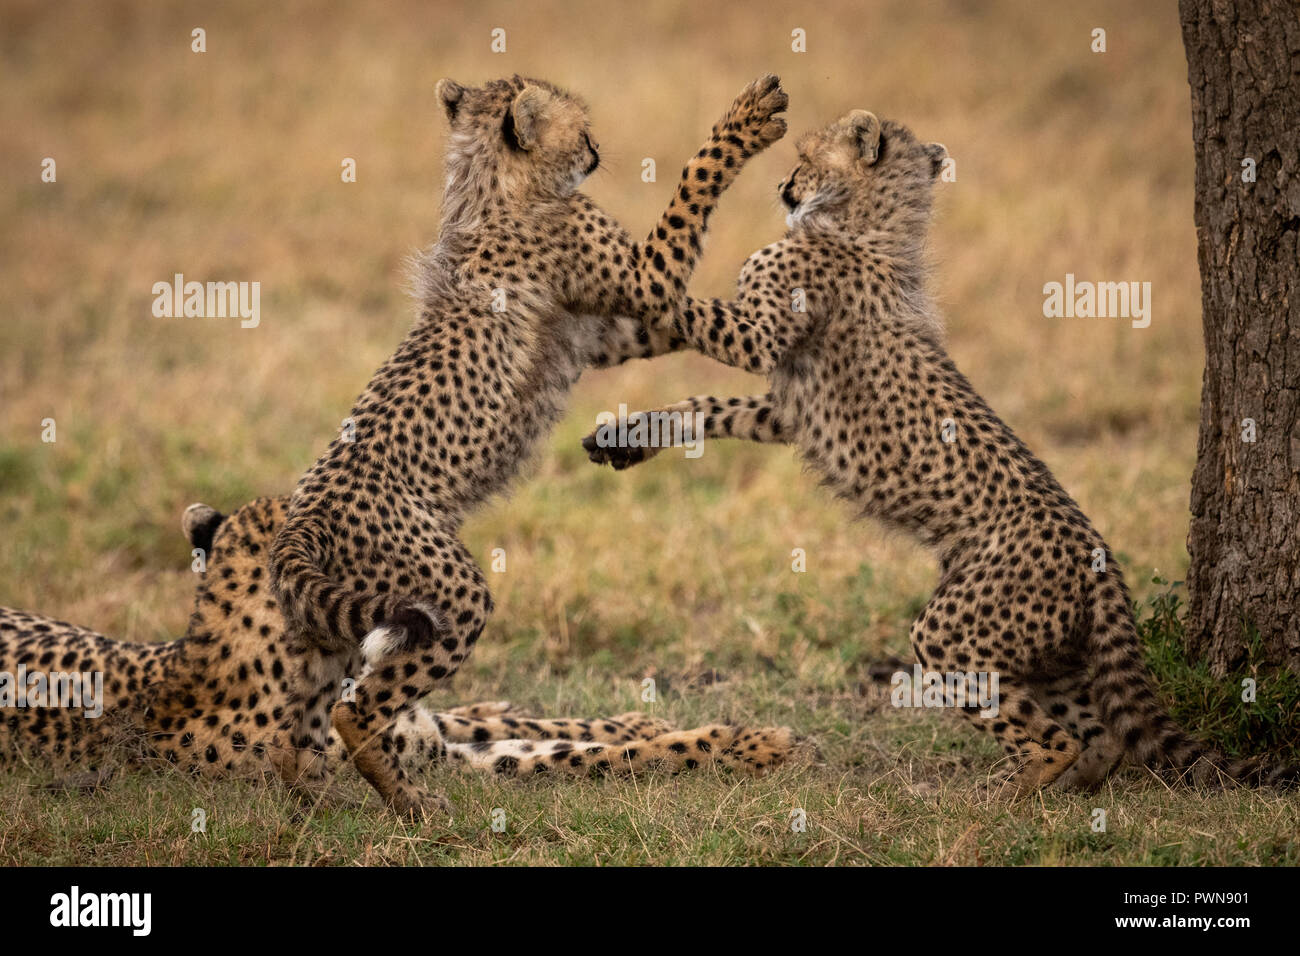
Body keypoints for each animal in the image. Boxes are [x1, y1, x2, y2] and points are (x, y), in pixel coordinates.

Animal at [0, 496, 790, 790]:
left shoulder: (428, 730)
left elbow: (553, 723)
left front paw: (646, 719)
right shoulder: (437, 761)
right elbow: (582, 753)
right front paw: (751, 745)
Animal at [267, 72, 785, 816]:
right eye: (582, 129)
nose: (599, 148)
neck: (492, 186)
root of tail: (301, 513)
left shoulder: (598, 331)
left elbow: (666, 324)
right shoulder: (643, 276)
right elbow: (693, 186)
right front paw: (745, 122)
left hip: (325, 623)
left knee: (294, 724)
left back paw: (313, 794)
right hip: (446, 599)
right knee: (356, 708)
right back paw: (412, 801)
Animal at [587, 110, 1289, 790]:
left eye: (805, 157)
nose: (783, 186)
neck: (865, 226)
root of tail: (1098, 553)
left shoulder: (760, 340)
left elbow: (683, 308)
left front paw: (629, 285)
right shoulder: (789, 406)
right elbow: (708, 406)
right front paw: (626, 434)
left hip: (953, 629)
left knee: (1051, 735)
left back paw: (1012, 789)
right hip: (1042, 649)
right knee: (1100, 736)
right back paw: (1065, 781)